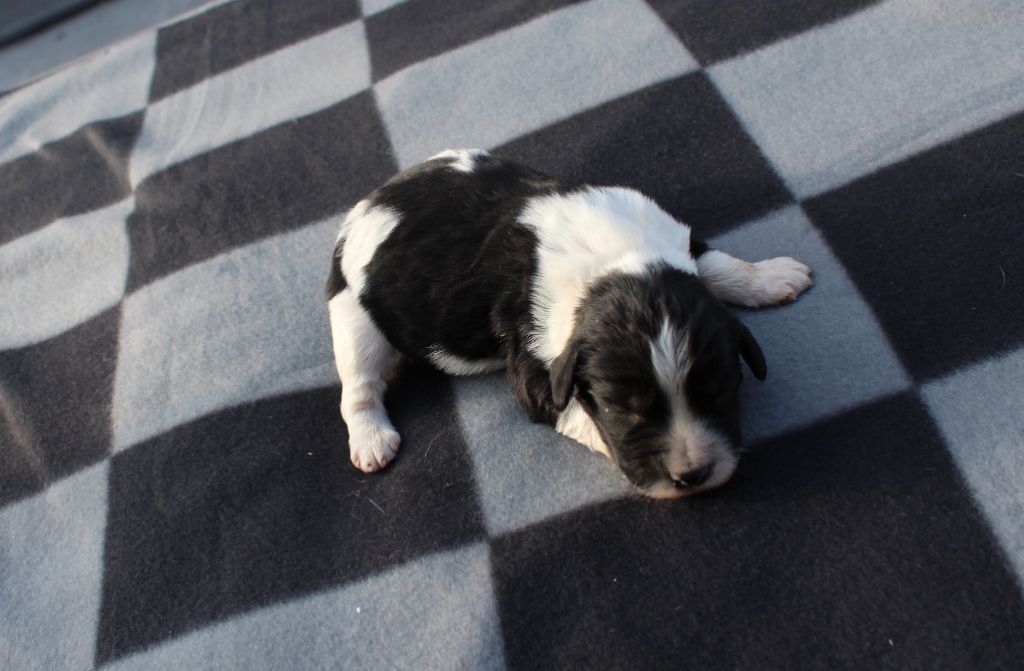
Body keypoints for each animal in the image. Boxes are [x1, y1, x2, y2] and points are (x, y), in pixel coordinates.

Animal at [323, 150, 811, 497]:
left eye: (720, 389)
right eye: (621, 409)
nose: (692, 475)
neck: (612, 263)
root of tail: (360, 210)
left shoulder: (674, 242)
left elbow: (717, 262)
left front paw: (772, 277)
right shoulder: (534, 360)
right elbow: (574, 411)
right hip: (353, 315)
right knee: (359, 386)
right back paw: (371, 440)